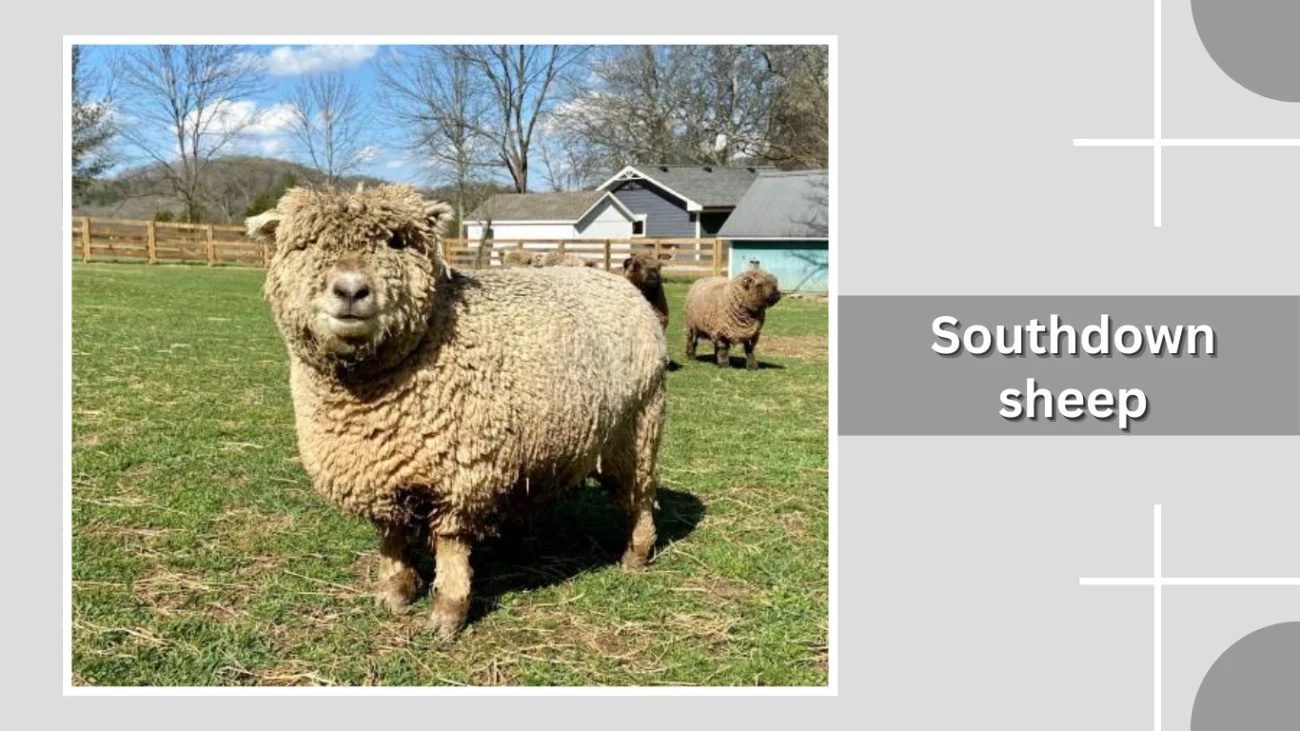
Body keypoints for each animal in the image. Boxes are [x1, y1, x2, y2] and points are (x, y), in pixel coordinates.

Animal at [248, 184, 668, 641]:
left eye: (397, 242)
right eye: (306, 245)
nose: (351, 291)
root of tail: (618, 284)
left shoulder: (458, 473)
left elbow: (449, 544)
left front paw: (449, 610)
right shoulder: (378, 470)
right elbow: (390, 533)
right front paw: (395, 588)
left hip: (637, 427)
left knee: (641, 497)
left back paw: (637, 553)